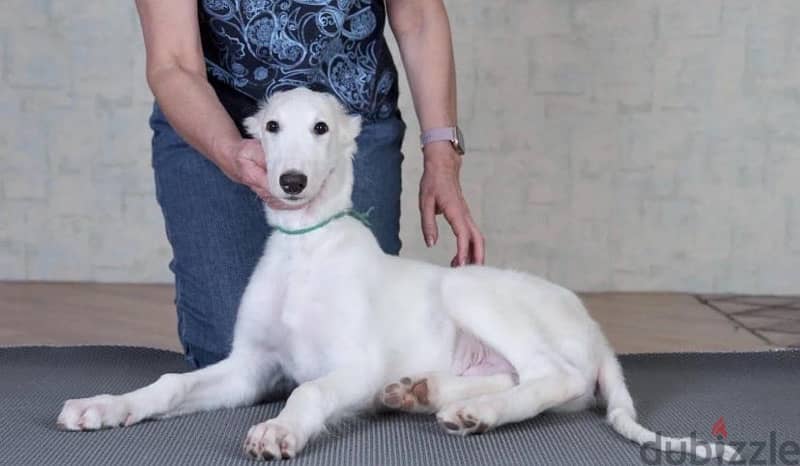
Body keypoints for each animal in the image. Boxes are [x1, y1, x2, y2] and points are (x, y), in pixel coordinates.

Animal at [57, 88, 736, 462]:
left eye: (321, 127)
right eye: (271, 127)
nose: (291, 183)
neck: (307, 248)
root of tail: (598, 334)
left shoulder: (355, 366)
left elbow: (308, 391)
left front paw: (278, 430)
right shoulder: (251, 366)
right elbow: (172, 382)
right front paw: (106, 407)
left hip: (470, 287)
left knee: (553, 376)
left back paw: (478, 414)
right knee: (523, 377)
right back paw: (426, 393)